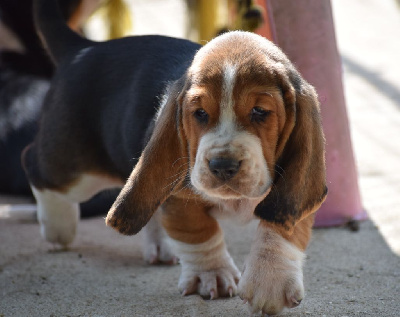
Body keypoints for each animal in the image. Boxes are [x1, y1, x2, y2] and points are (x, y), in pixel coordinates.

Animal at [23, 0, 326, 314]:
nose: (222, 166)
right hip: (76, 170)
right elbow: (198, 232)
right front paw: (212, 275)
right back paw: (58, 228)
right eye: (200, 113)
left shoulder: (294, 190)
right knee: (35, 164)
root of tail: (82, 49)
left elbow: (283, 227)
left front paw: (270, 280)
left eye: (259, 112)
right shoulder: (182, 197)